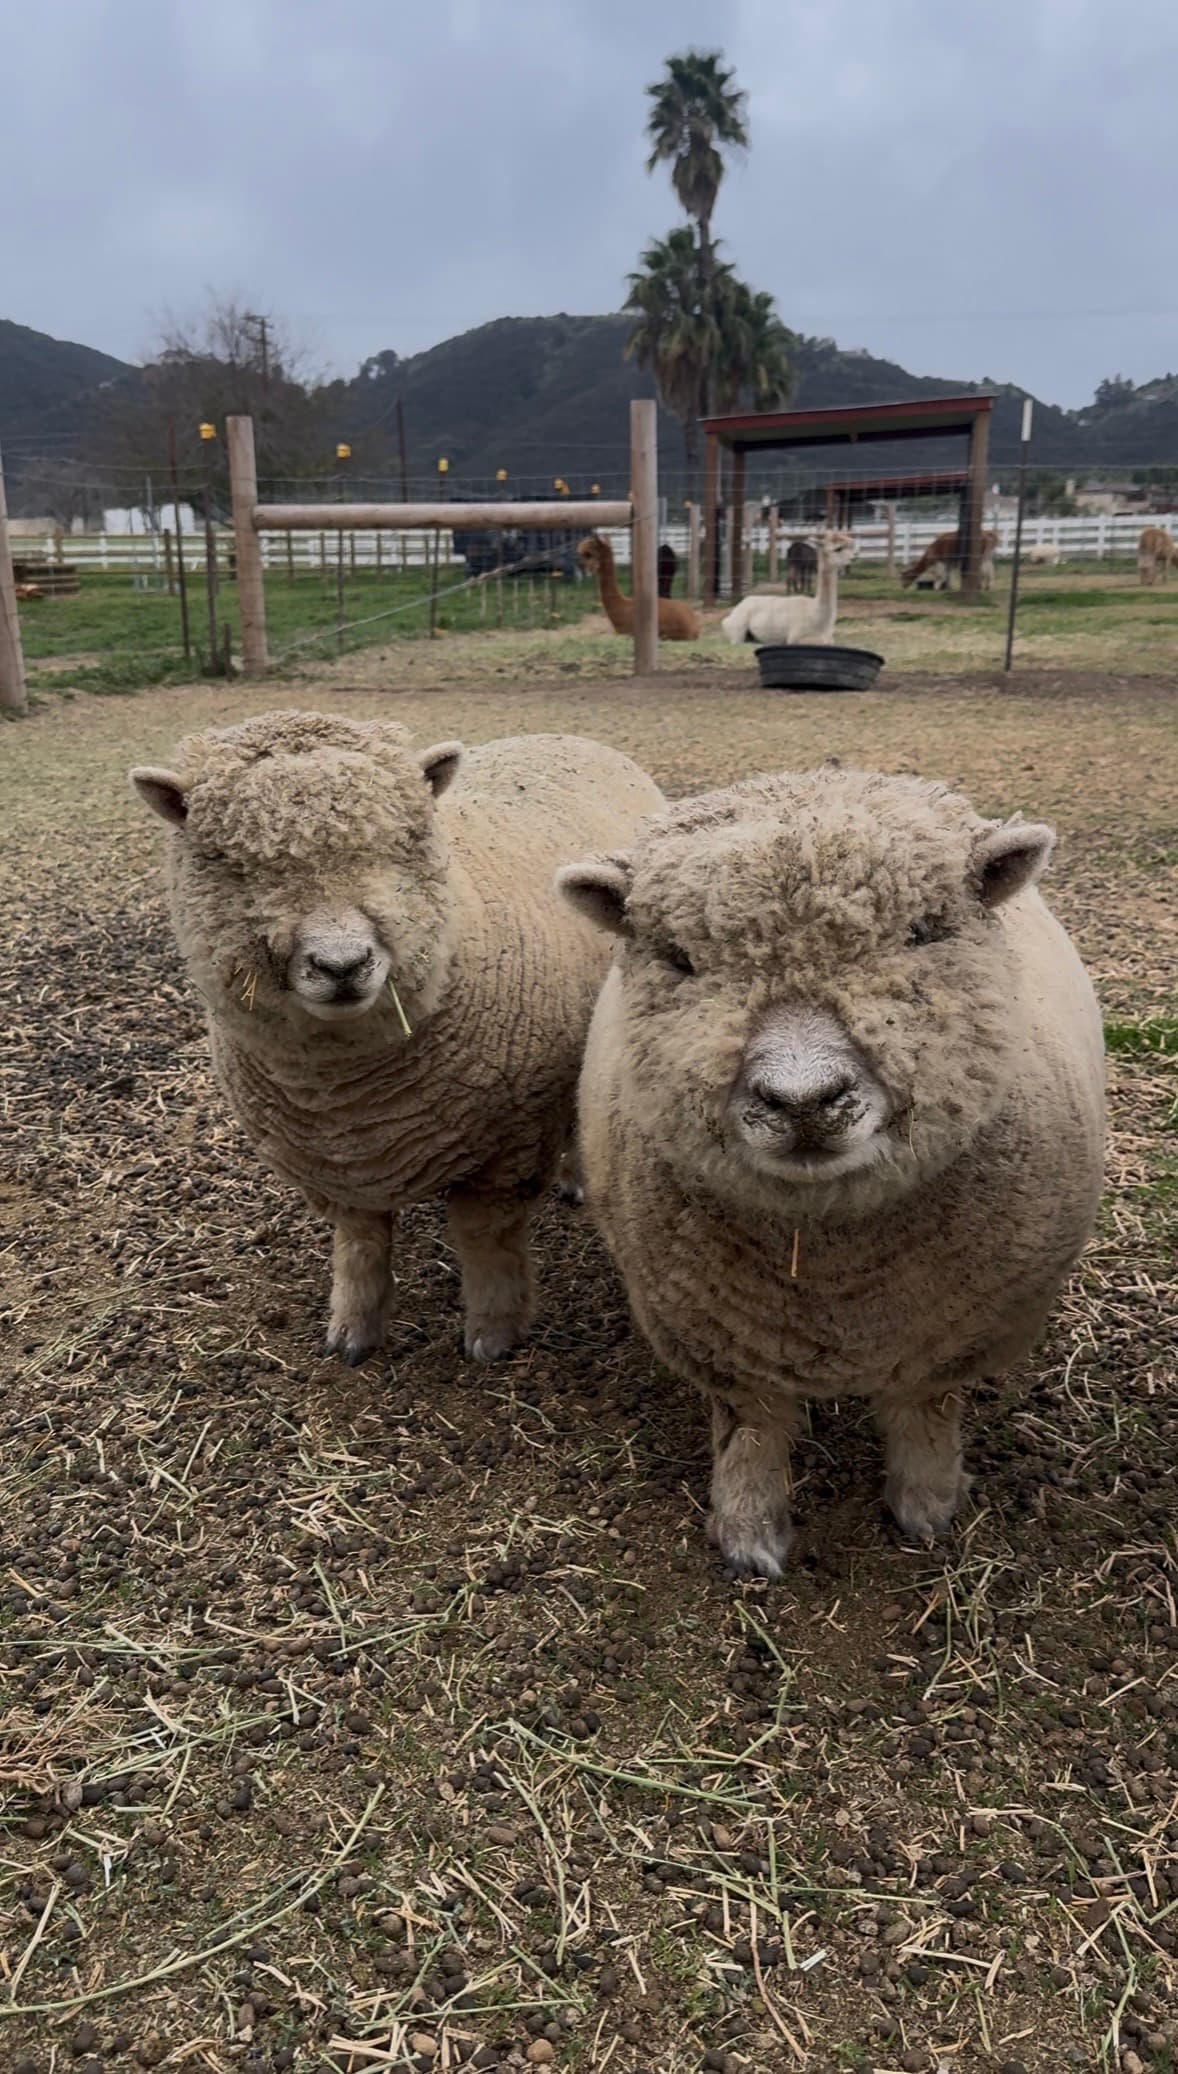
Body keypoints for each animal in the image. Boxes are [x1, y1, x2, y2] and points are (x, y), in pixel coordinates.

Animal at [131, 709, 664, 1365]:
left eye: (405, 842)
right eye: (230, 862)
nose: (342, 965)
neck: (346, 1094)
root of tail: (565, 734)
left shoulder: (506, 1150)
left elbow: (484, 1240)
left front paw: (493, 1334)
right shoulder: (331, 1166)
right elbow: (361, 1243)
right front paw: (353, 1330)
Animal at [558, 766, 1104, 1577]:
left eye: (923, 932)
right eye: (680, 958)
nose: (803, 1100)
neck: (832, 1276)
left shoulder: (953, 1340)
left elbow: (924, 1416)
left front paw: (927, 1508)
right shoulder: (719, 1341)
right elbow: (751, 1432)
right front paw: (749, 1534)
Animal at [720, 532, 857, 647]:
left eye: (851, 545)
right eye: (838, 548)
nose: (854, 557)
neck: (817, 615)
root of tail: (743, 602)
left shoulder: (829, 639)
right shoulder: (796, 637)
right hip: (737, 627)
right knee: (738, 639)